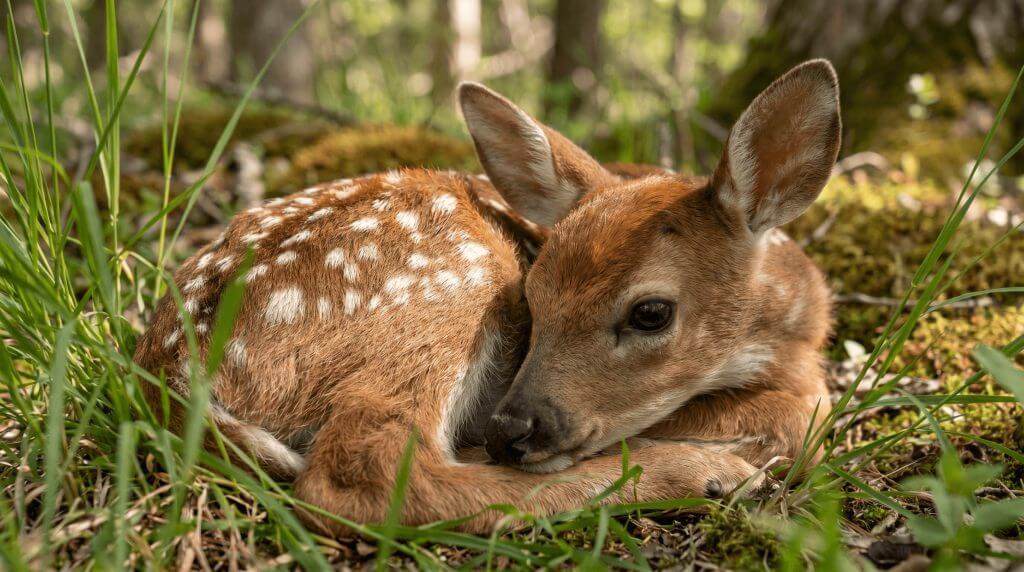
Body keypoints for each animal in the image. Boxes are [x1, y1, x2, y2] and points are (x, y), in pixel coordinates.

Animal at [133, 59, 840, 535]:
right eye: (537, 295)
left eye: (651, 312)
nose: (511, 427)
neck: (793, 336)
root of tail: (167, 368)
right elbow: (798, 418)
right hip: (451, 283)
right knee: (364, 477)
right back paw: (700, 473)